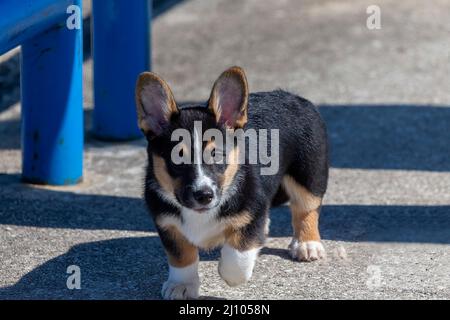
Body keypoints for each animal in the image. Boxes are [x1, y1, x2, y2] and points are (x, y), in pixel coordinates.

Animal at [135, 66, 328, 298]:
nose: (204, 195)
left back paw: (307, 244)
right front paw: (182, 285)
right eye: (177, 159)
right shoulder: (168, 225)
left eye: (217, 154)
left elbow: (237, 255)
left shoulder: (252, 211)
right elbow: (182, 256)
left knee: (305, 209)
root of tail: (293, 96)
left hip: (309, 176)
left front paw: (230, 273)